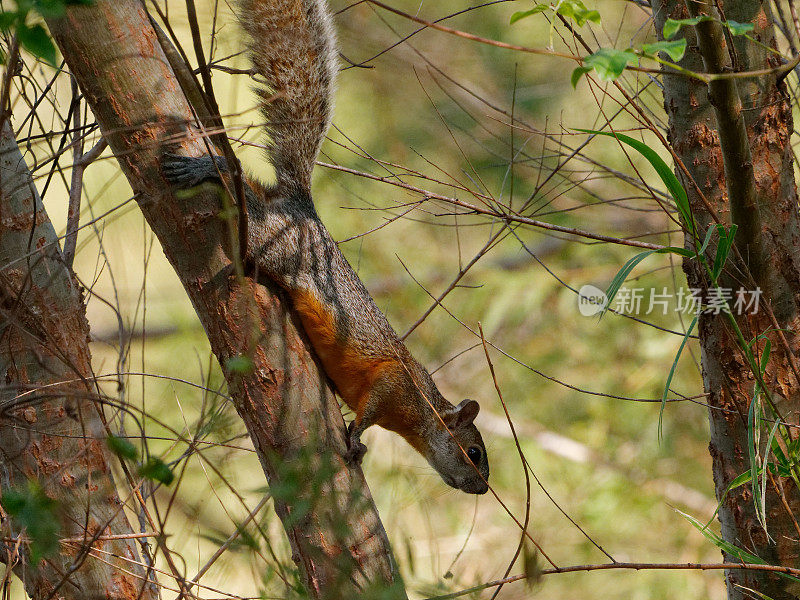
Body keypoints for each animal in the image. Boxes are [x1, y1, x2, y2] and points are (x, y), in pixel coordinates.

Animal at [161, 0, 488, 492]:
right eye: (474, 452)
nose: (483, 487)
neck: (423, 410)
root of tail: (300, 206)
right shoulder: (394, 382)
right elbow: (367, 414)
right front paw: (355, 438)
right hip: (276, 243)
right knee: (245, 207)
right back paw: (209, 168)